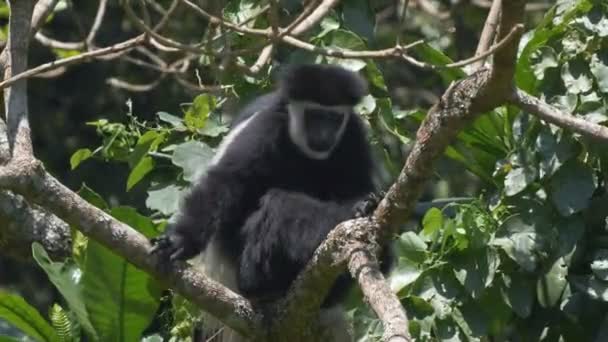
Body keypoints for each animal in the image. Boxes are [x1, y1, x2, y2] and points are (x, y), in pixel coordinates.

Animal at [150, 63, 382, 340]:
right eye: (314, 116)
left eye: (333, 119)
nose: (324, 135)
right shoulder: (265, 128)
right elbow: (225, 182)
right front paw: (178, 241)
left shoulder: (352, 136)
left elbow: (358, 185)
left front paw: (362, 204)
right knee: (278, 206)